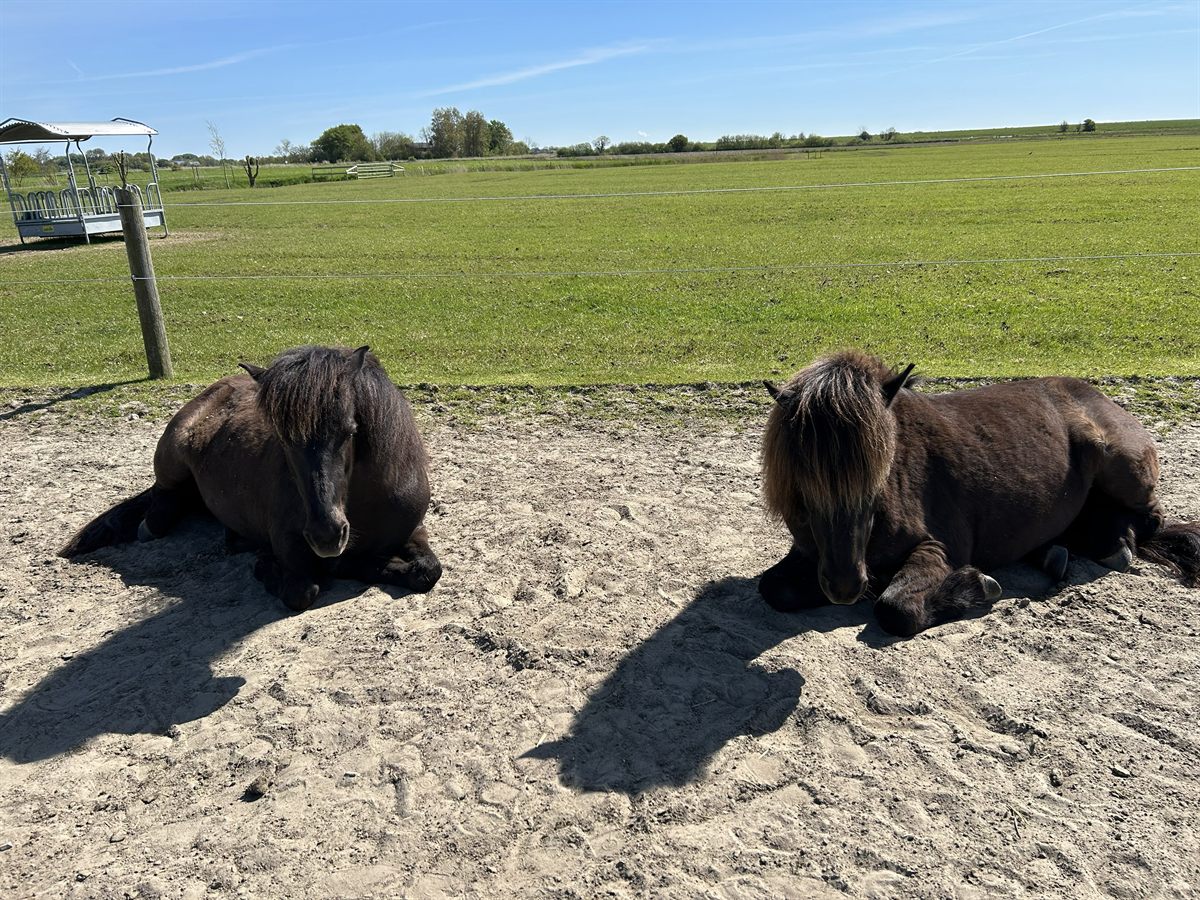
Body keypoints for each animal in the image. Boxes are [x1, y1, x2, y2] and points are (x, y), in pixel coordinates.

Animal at [61, 345, 442, 611]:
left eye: (349, 431)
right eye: (283, 439)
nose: (326, 535)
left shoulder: (412, 530)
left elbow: (428, 571)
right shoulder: (291, 545)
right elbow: (302, 591)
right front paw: (268, 566)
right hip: (170, 459)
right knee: (160, 501)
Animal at [759, 350, 1200, 636]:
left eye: (879, 473)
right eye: (805, 479)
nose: (845, 586)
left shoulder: (939, 547)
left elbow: (895, 608)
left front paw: (974, 586)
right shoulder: (811, 553)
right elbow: (773, 588)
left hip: (1123, 467)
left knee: (1150, 517)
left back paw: (1111, 544)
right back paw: (1054, 551)